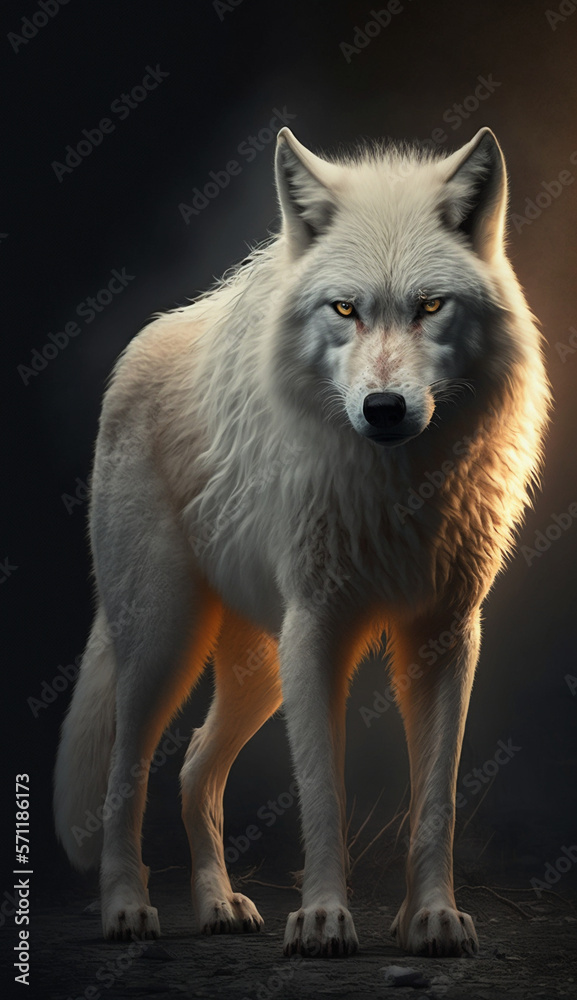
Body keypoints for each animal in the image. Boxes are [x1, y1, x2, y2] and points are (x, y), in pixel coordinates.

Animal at [54, 125, 550, 957]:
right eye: (344, 308)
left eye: (430, 307)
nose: (382, 408)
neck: (396, 486)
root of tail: (143, 340)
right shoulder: (318, 629)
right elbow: (322, 793)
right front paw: (321, 919)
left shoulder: (444, 635)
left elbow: (436, 801)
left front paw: (431, 918)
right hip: (165, 640)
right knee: (130, 769)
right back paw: (126, 909)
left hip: (259, 666)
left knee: (193, 768)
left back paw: (218, 905)